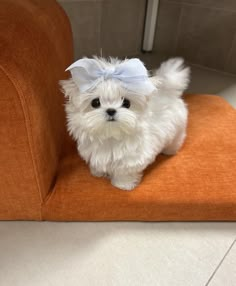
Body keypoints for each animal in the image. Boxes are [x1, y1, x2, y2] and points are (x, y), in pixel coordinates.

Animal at [60, 57, 190, 191]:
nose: (111, 110)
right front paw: (97, 172)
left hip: (178, 129)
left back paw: (170, 151)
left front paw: (123, 185)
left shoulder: (131, 159)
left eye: (126, 103)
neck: (110, 136)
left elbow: (125, 172)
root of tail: (169, 91)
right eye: (95, 102)